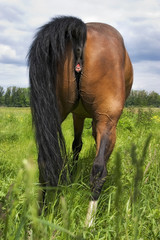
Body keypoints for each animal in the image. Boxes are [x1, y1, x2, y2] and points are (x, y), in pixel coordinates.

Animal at [28, 15, 133, 227]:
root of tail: (81, 30)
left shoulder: (78, 115)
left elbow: (76, 145)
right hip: (107, 120)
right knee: (99, 170)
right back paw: (89, 222)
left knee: (45, 161)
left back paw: (40, 215)